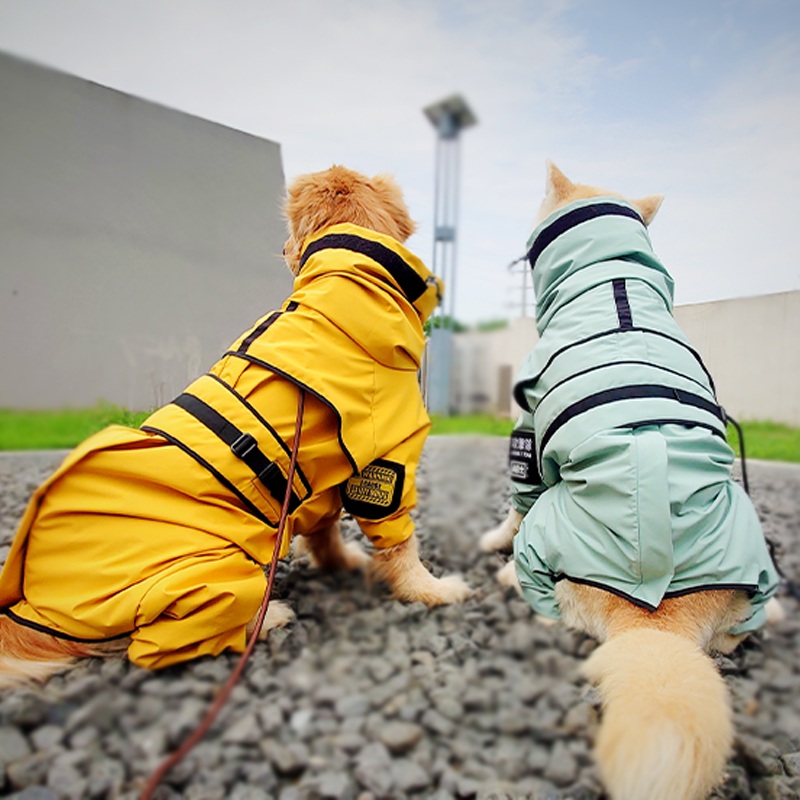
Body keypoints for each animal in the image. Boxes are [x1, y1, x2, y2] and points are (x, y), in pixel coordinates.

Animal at [0, 164, 468, 688]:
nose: (281, 250)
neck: (347, 282)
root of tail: (33, 605)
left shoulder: (323, 479)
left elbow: (324, 529)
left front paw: (341, 562)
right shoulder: (386, 461)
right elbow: (401, 542)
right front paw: (430, 590)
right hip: (212, 573)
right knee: (154, 646)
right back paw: (269, 618)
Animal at [482, 161, 780, 800]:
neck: (610, 274)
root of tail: (658, 624)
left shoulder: (528, 422)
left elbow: (516, 500)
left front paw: (492, 540)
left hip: (548, 543)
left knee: (540, 589)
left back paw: (505, 575)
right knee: (735, 633)